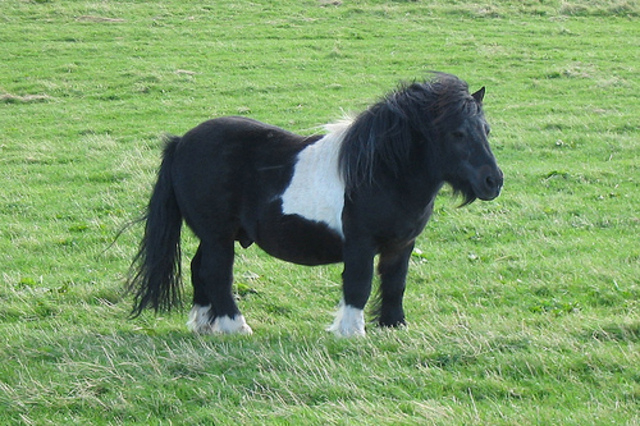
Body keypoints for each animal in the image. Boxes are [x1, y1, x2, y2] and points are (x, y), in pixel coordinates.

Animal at [127, 73, 503, 337]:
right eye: (457, 133)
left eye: (485, 129)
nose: (494, 181)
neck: (382, 171)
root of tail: (181, 142)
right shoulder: (360, 244)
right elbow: (359, 284)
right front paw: (351, 332)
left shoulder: (402, 245)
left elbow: (395, 283)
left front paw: (394, 326)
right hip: (218, 236)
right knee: (217, 274)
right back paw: (236, 326)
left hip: (214, 237)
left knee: (199, 270)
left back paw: (205, 324)